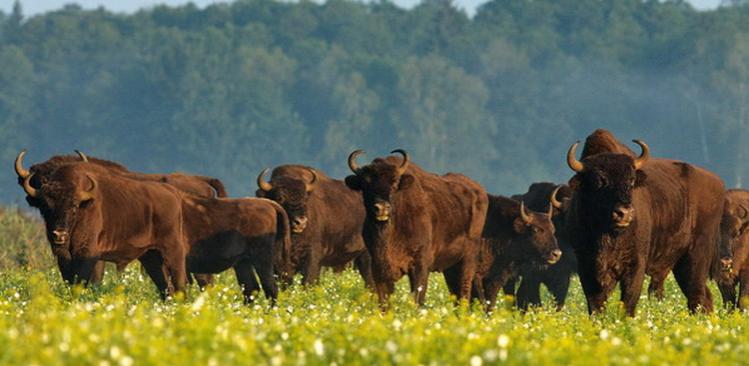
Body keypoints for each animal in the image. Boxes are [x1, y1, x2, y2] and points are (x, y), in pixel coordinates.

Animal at [344, 149, 488, 306]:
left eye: (395, 182)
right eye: (365, 184)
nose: (382, 208)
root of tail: (480, 191)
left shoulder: (420, 265)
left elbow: (418, 299)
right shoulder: (378, 267)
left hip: (467, 260)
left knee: (464, 292)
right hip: (451, 268)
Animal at [568, 133, 724, 316]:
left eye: (631, 181)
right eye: (598, 181)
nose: (624, 213)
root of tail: (718, 183)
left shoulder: (635, 264)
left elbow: (628, 302)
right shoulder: (586, 266)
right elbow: (595, 304)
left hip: (696, 257)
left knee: (697, 294)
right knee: (703, 295)